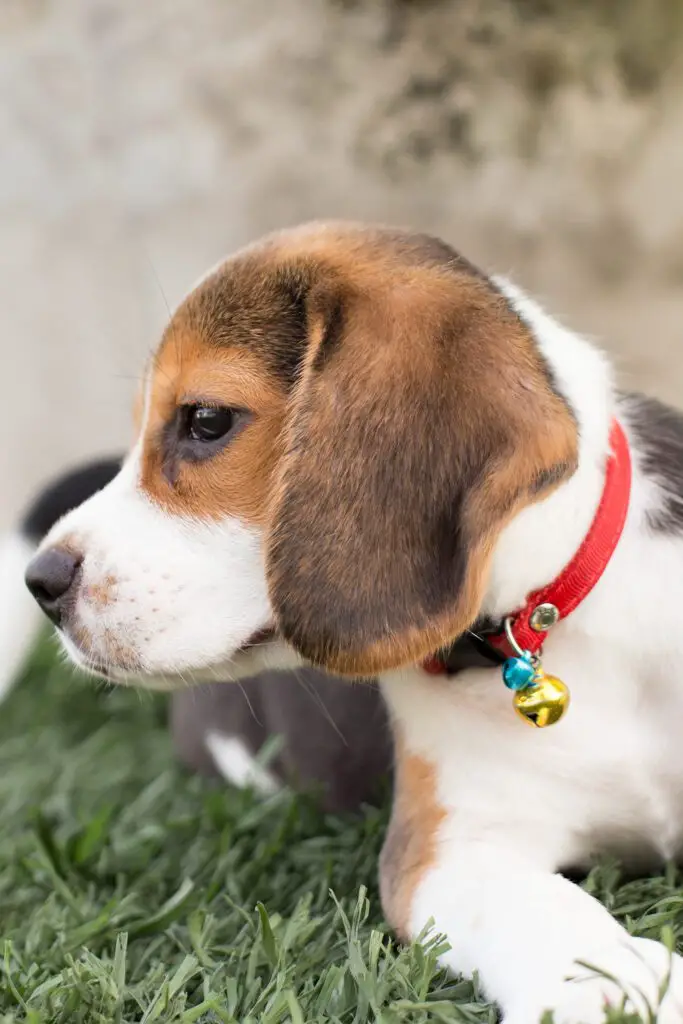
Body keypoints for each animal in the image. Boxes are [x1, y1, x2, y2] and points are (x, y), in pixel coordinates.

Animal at [24, 226, 683, 1024]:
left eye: (205, 421)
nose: (40, 582)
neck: (545, 627)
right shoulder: (447, 852)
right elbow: (539, 909)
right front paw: (609, 984)